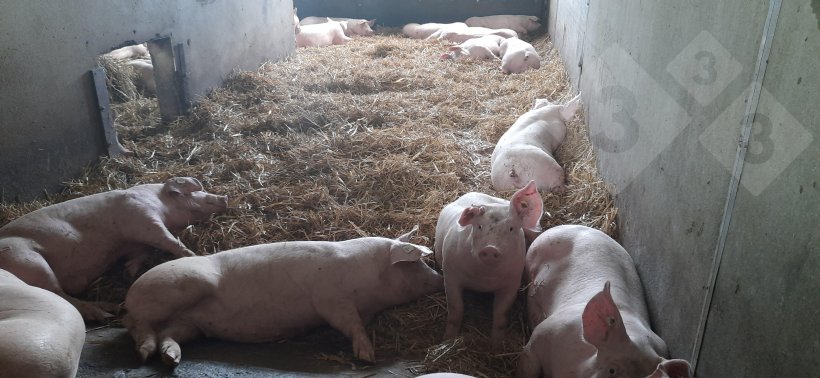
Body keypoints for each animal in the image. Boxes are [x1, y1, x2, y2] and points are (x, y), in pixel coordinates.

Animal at [0, 177, 227, 322]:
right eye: (197, 192)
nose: (224, 198)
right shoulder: (143, 217)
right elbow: (167, 239)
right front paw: (193, 254)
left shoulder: (135, 243)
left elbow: (141, 253)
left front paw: (129, 273)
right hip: (26, 259)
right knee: (59, 294)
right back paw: (103, 314)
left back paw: (112, 308)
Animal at [123, 226, 442, 364]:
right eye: (415, 263)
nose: (440, 278)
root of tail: (129, 294)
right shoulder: (331, 301)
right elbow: (350, 325)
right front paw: (369, 357)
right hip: (180, 287)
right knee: (139, 326)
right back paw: (145, 354)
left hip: (191, 326)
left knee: (167, 335)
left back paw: (170, 359)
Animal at [436, 182, 544, 346]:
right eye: (479, 226)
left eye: (511, 228)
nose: (490, 249)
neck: (485, 279)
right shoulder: (450, 276)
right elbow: (455, 309)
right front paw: (447, 340)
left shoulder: (512, 284)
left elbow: (500, 314)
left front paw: (496, 344)